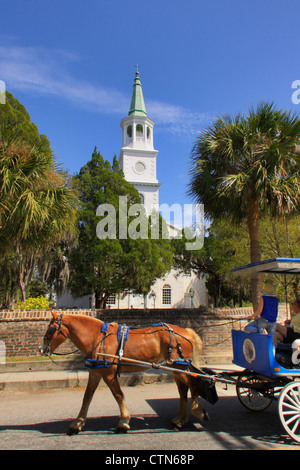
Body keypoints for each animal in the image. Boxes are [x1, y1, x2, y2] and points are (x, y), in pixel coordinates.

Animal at [39, 310, 216, 436]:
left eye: (51, 329)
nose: (41, 349)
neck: (97, 338)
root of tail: (185, 331)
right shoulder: (95, 374)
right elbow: (86, 398)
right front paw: (77, 424)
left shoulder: (109, 374)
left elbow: (118, 395)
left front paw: (123, 422)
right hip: (177, 367)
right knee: (183, 390)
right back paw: (179, 420)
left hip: (179, 366)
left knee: (193, 383)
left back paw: (197, 411)